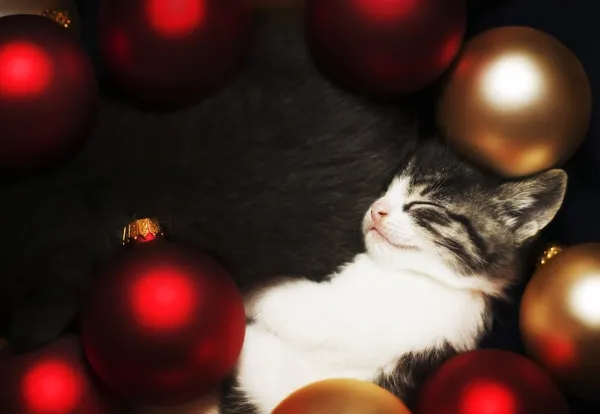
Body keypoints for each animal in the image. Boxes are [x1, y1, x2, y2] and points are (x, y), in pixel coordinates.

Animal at [217, 142, 568, 410]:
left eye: (423, 204)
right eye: (385, 190)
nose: (376, 209)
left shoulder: (351, 319)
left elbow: (298, 309)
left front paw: (245, 291)